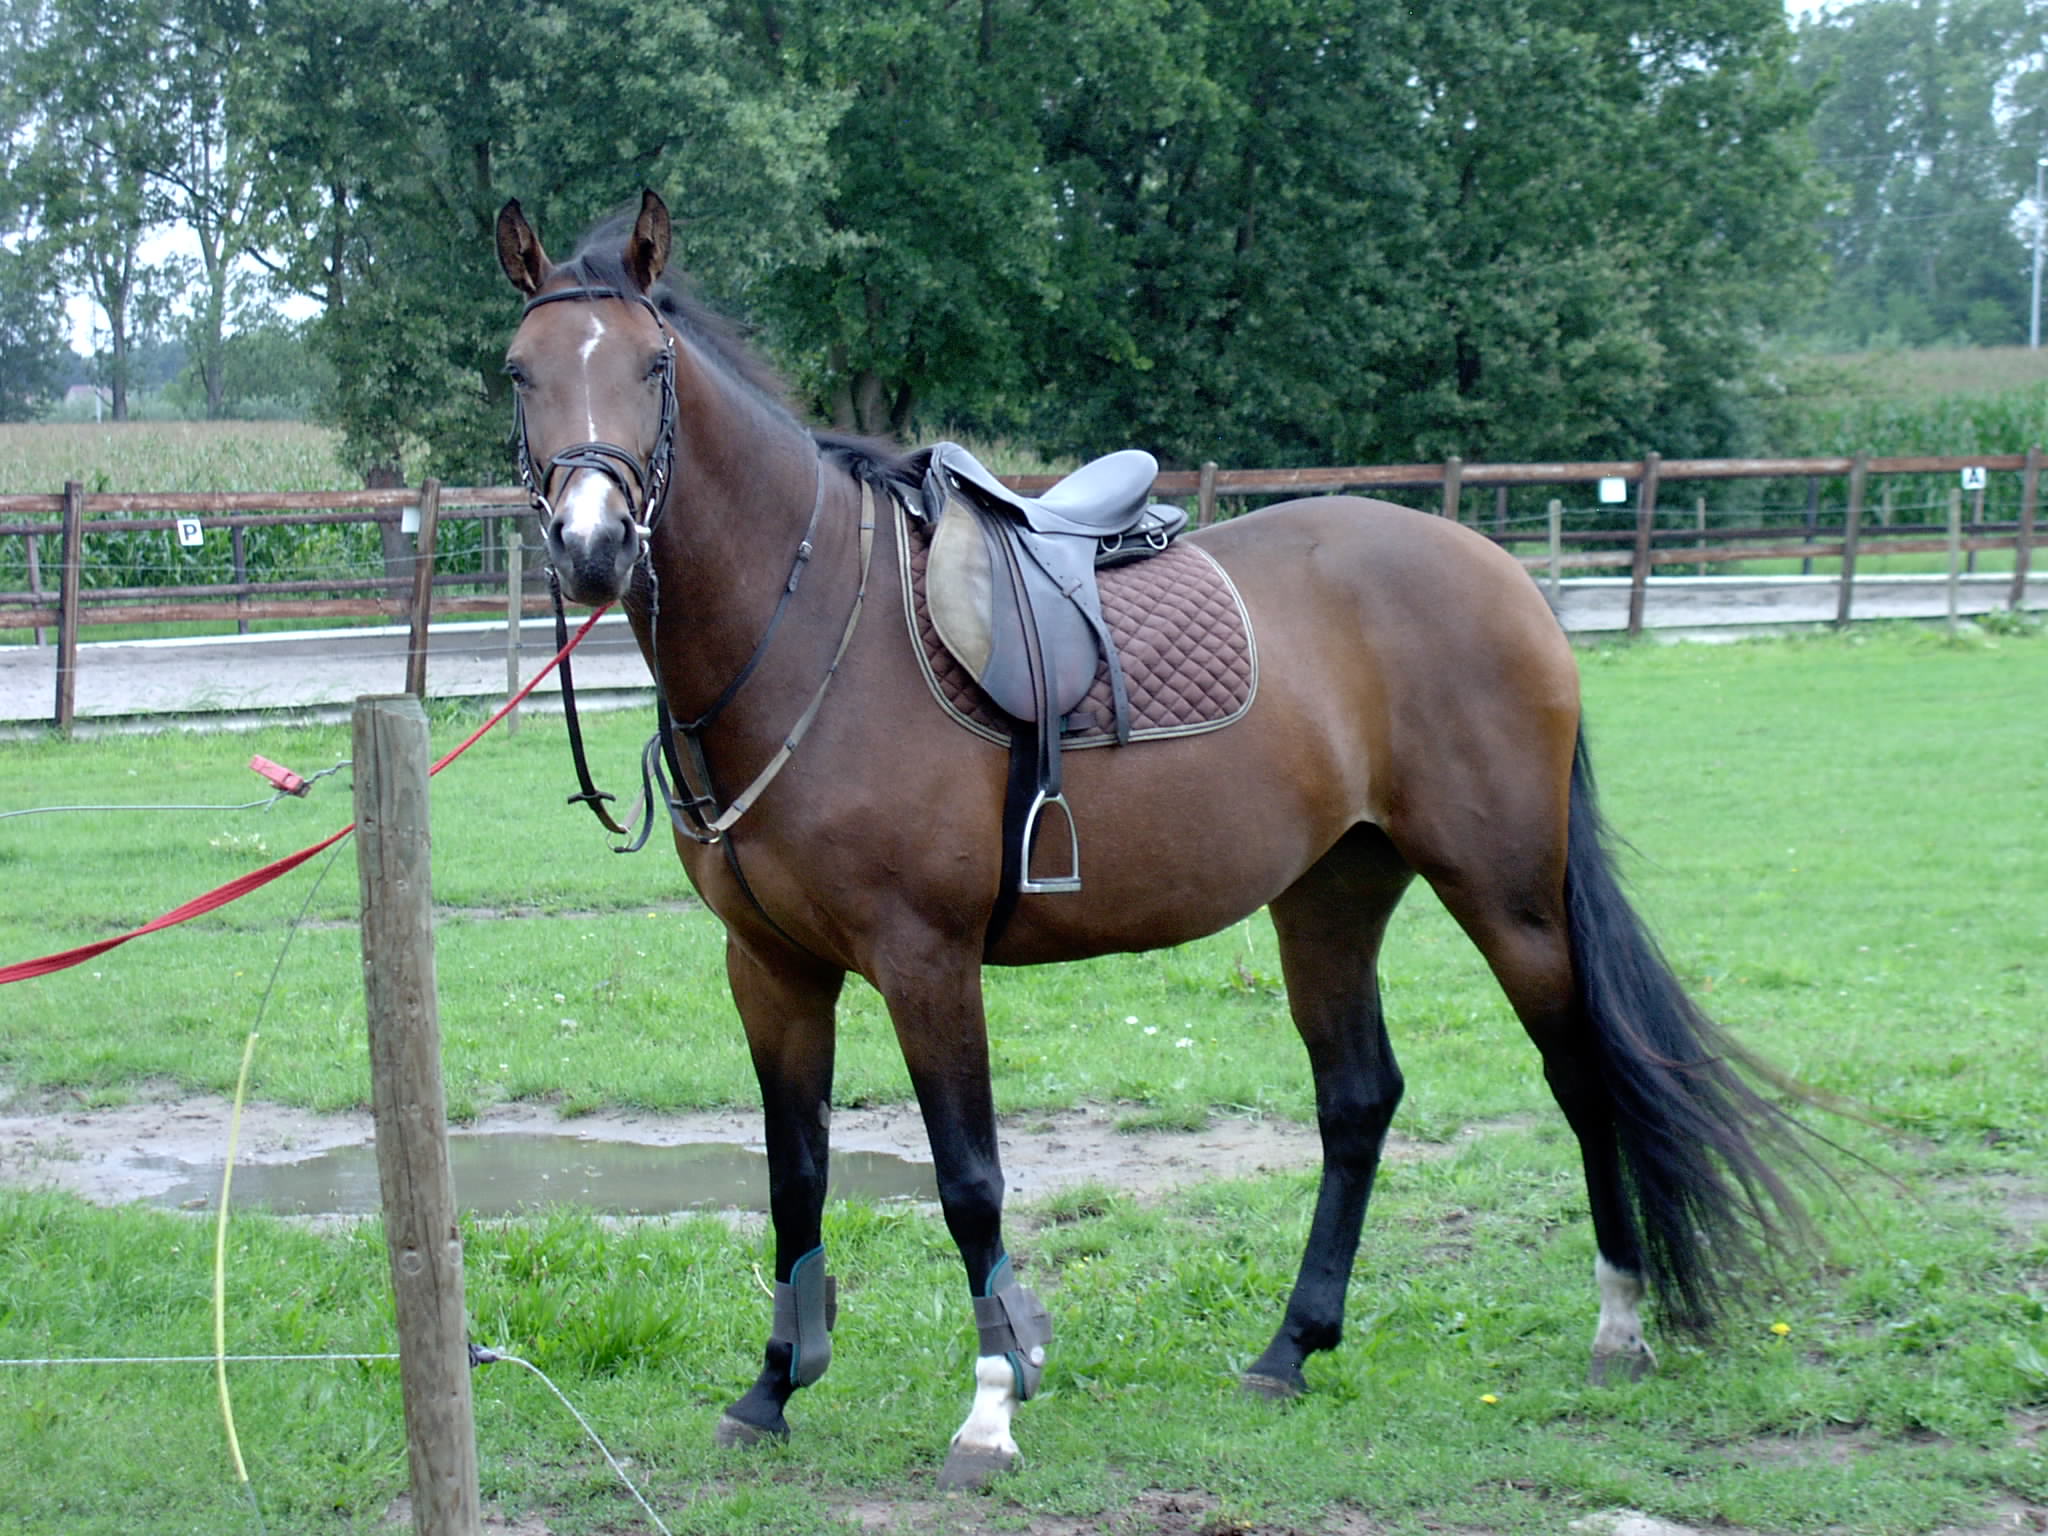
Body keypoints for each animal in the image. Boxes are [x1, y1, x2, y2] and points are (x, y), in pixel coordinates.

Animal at [494, 190, 1811, 1490]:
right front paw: (771, 1387)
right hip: (1331, 893)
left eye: (654, 367)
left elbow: (968, 1182)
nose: (592, 547)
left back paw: (1617, 1324)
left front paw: (990, 1410)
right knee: (1358, 1097)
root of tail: (1501, 574)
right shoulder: (770, 969)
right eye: (518, 371)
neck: (812, 623)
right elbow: (794, 1177)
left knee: (1580, 1074)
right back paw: (1290, 1349)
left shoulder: (925, 961)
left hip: (1506, 892)